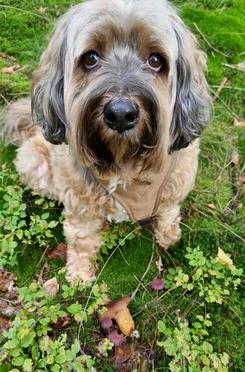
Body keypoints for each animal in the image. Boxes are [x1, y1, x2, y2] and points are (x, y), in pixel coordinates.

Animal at [0, 0, 211, 282]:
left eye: (156, 60)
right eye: (90, 58)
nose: (120, 114)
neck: (124, 159)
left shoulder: (178, 177)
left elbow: (169, 209)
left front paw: (168, 235)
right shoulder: (80, 203)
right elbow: (82, 237)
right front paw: (80, 273)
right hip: (34, 162)